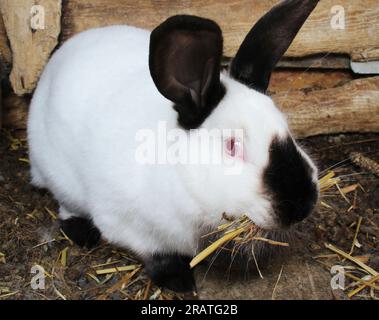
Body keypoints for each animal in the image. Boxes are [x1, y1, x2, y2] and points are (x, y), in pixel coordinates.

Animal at [28, 0, 322, 292]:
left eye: (286, 126)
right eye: (232, 146)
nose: (302, 204)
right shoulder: (127, 226)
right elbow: (157, 256)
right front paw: (180, 282)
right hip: (62, 182)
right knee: (66, 208)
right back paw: (83, 234)